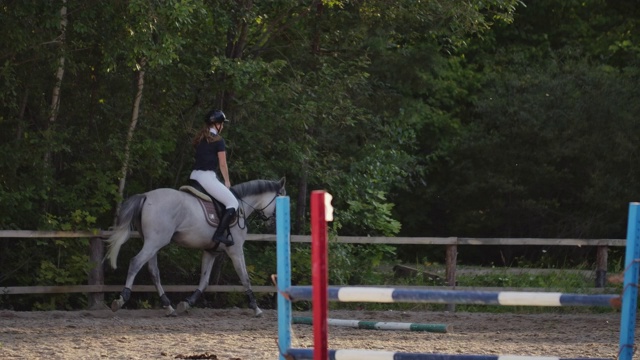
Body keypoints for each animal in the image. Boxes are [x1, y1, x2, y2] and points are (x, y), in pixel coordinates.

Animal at [105, 177, 284, 316]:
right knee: (136, 262)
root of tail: (146, 196)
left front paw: (186, 303)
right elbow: (245, 278)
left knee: (153, 271)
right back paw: (121, 299)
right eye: (281, 198)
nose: (274, 225)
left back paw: (168, 307)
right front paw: (256, 308)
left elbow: (204, 281)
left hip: (153, 243)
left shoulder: (211, 252)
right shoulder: (236, 250)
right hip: (155, 242)